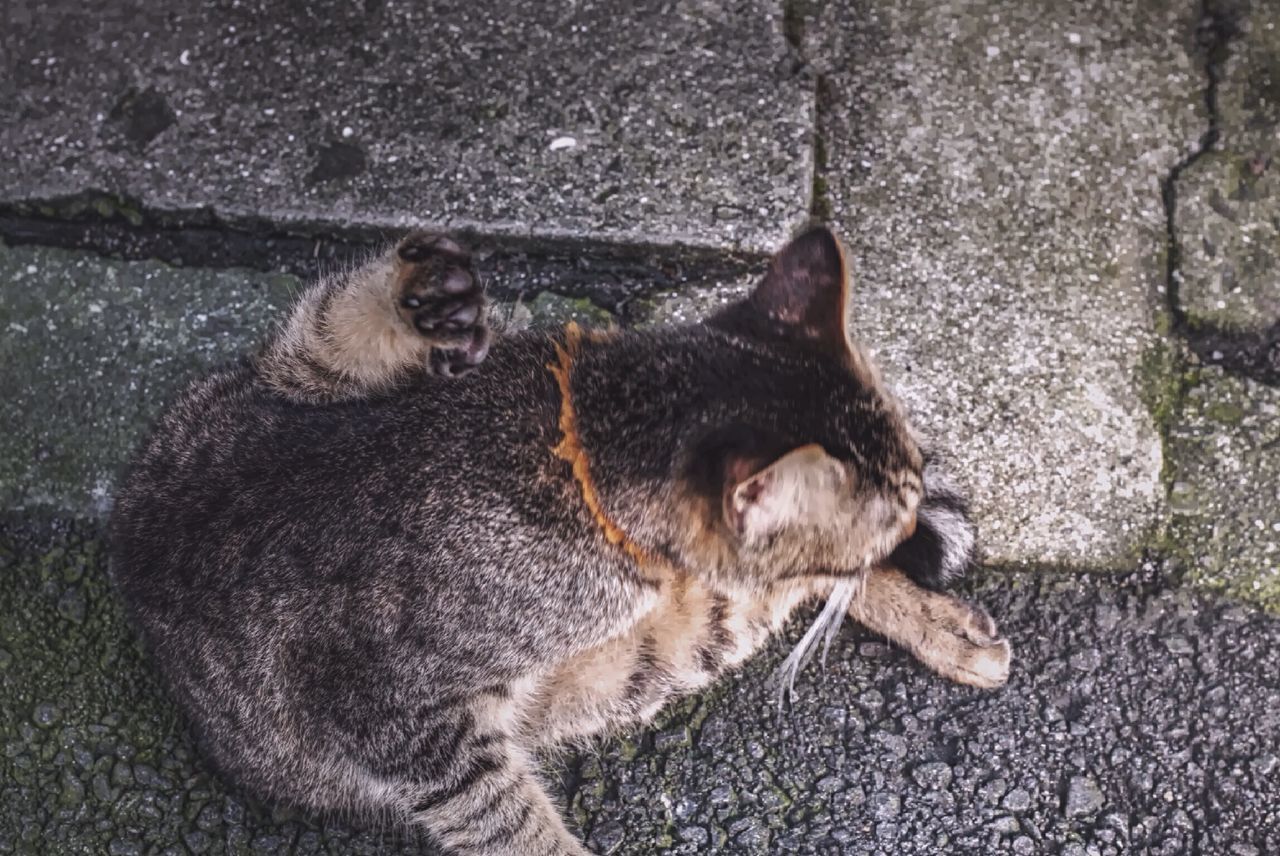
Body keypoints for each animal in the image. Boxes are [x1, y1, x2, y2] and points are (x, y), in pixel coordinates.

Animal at [110, 225, 1008, 854]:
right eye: (893, 507)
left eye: (914, 483)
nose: (913, 513)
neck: (580, 441)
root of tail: (134, 511)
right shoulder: (395, 721)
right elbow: (512, 826)